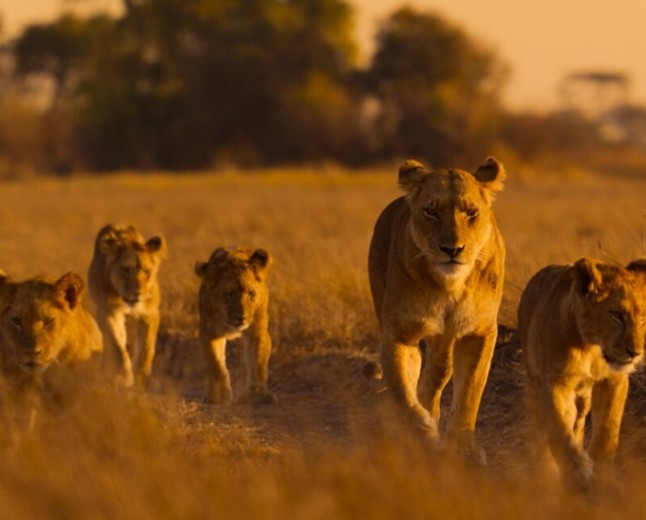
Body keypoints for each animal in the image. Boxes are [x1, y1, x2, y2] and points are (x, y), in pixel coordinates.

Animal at [88, 224, 166, 388]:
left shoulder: (150, 313)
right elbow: (118, 346)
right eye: (125, 270)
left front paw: (143, 374)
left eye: (147, 271)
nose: (138, 293)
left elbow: (146, 347)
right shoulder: (109, 313)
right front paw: (125, 375)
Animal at [195, 247, 275, 405]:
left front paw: (258, 395)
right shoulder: (208, 332)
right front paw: (221, 397)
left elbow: (257, 361)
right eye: (228, 294)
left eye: (251, 293)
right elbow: (215, 365)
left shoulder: (257, 331)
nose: (241, 318)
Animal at [368, 157, 506, 463]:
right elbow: (402, 390)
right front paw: (423, 431)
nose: (452, 249)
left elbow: (470, 392)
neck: (449, 286)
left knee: (438, 373)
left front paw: (464, 447)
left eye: (471, 212)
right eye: (431, 211)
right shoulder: (398, 334)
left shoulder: (479, 333)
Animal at [519, 258, 646, 489]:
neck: (592, 347)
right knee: (543, 429)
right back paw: (546, 471)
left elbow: (608, 428)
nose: (635, 353)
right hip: (533, 382)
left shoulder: (614, 380)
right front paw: (578, 472)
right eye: (617, 315)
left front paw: (600, 471)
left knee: (578, 422)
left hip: (583, 397)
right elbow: (559, 430)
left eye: (642, 317)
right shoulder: (555, 383)